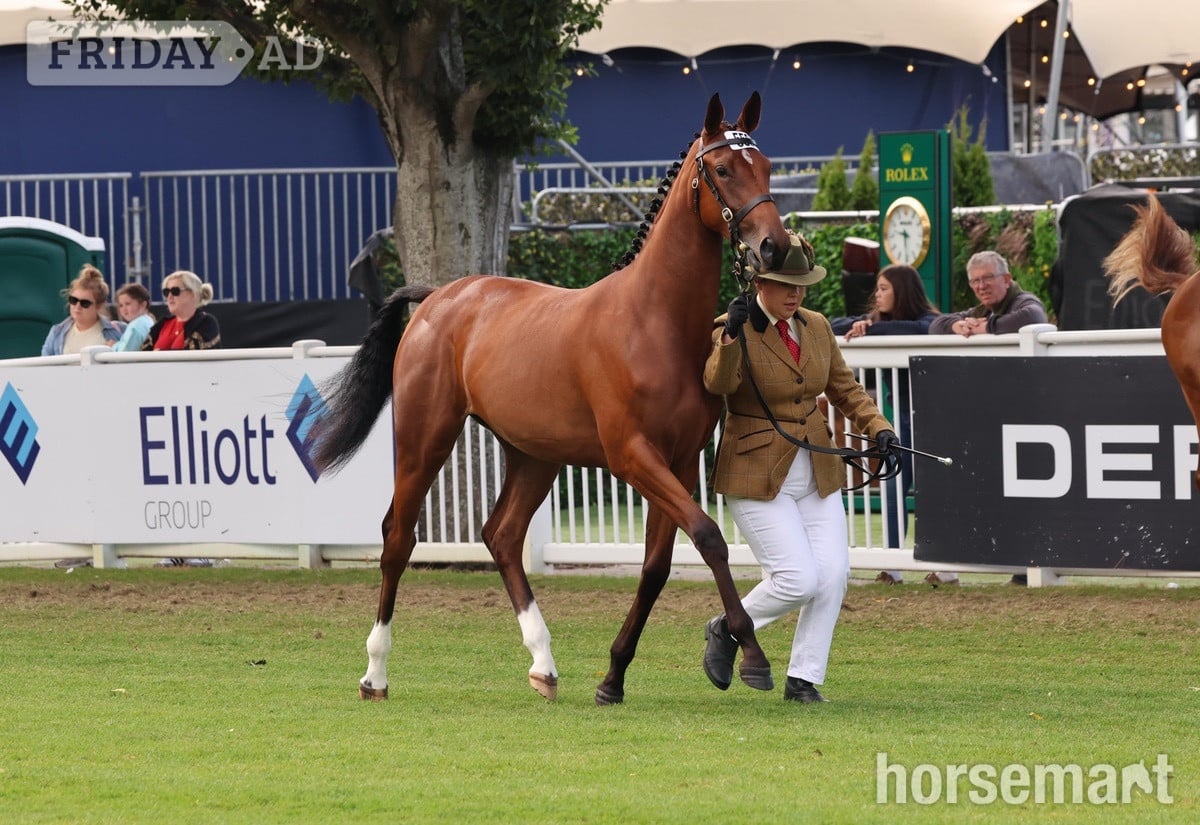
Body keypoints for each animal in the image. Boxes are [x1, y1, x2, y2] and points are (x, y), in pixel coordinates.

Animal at [310, 92, 791, 705]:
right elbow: (709, 537)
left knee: (502, 536)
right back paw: (375, 674)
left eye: (768, 167)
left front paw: (613, 676)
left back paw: (543, 663)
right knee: (399, 536)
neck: (654, 321)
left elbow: (657, 566)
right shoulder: (633, 456)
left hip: (534, 456)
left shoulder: (680, 462)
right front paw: (751, 657)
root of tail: (438, 298)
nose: (774, 246)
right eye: (724, 169)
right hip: (425, 438)